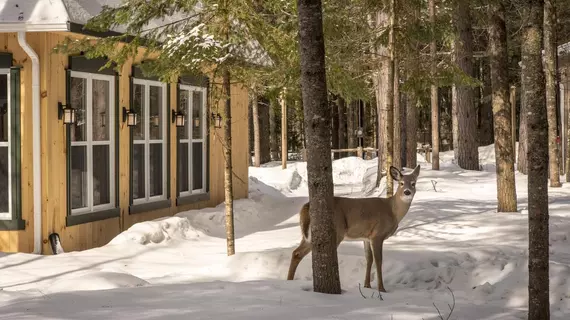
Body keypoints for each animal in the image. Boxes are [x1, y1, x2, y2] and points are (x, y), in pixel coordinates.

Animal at [286, 166, 420, 294]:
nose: (407, 192)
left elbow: (369, 259)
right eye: (401, 183)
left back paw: (289, 281)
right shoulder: (377, 234)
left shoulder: (366, 237)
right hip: (337, 231)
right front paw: (381, 289)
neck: (392, 211)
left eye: (413, 183)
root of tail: (306, 206)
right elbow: (378, 260)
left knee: (296, 253)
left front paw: (367, 285)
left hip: (308, 235)